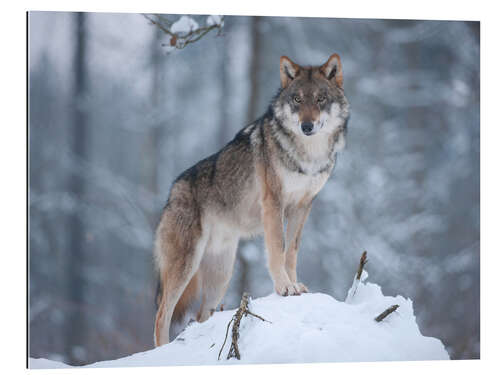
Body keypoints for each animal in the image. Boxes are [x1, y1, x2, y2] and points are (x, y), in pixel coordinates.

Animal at [154, 53, 350, 346]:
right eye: (297, 100)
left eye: (320, 99)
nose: (307, 126)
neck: (308, 156)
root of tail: (172, 192)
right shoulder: (273, 203)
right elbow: (277, 249)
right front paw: (284, 287)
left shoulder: (302, 207)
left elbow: (291, 251)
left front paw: (295, 284)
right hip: (185, 266)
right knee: (161, 315)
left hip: (221, 276)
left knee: (200, 315)